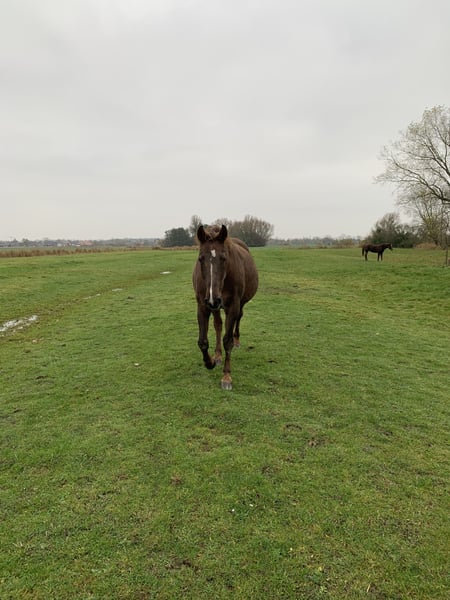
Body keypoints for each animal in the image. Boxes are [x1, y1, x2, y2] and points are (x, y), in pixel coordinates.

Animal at [192, 224, 258, 390]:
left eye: (223, 258)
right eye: (200, 258)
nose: (213, 298)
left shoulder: (233, 305)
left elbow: (227, 340)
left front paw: (227, 376)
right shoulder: (202, 306)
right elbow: (203, 341)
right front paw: (210, 361)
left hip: (237, 304)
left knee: (238, 319)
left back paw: (237, 340)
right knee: (218, 325)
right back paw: (217, 355)